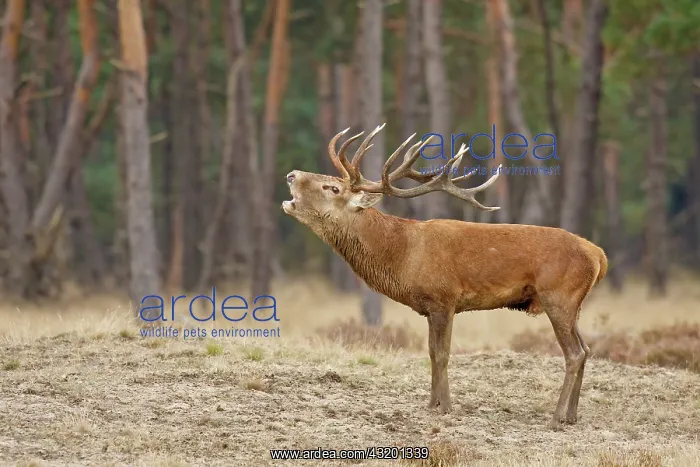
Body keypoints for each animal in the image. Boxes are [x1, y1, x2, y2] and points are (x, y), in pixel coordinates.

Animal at [281, 124, 608, 429]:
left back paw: (556, 417)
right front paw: (431, 404)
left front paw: (446, 407)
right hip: (573, 304)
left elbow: (442, 353)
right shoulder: (429, 308)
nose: (291, 174)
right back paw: (572, 416)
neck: (403, 256)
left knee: (574, 353)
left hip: (558, 296)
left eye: (332, 188)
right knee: (586, 349)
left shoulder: (444, 299)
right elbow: (429, 352)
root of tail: (598, 254)